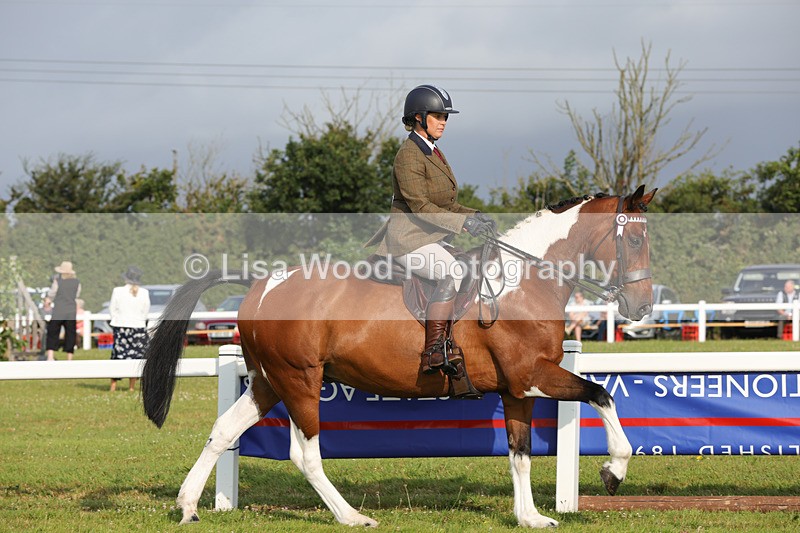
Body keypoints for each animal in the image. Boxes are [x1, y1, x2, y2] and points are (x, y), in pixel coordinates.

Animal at [141, 185, 657, 528]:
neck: (525, 281)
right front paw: (613, 471)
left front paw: (529, 517)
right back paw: (352, 517)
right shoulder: (533, 375)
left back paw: (187, 506)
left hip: (269, 380)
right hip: (300, 380)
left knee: (224, 430)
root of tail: (262, 283)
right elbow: (601, 394)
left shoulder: (517, 387)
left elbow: (521, 451)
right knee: (304, 453)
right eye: (633, 240)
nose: (642, 307)